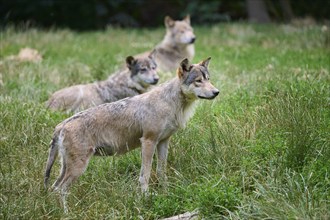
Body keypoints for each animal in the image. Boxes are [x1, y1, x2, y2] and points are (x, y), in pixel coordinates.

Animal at [43, 57, 219, 212]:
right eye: (198, 81)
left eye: (208, 79)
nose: (216, 92)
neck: (171, 103)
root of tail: (61, 125)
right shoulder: (148, 141)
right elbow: (145, 175)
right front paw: (146, 198)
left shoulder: (163, 142)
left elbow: (161, 172)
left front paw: (166, 193)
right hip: (78, 168)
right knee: (60, 189)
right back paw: (66, 213)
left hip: (67, 167)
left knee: (53, 187)